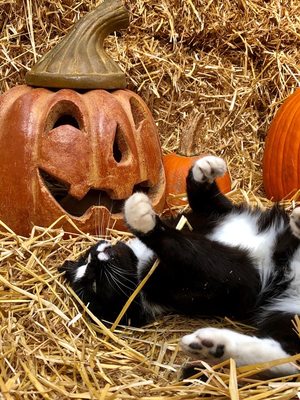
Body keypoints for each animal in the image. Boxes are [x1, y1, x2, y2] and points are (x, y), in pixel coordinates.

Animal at [60, 155, 300, 376]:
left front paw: (204, 168)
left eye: (86, 258)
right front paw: (141, 217)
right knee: (289, 359)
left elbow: (209, 202)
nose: (96, 256)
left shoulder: (217, 214)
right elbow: (189, 249)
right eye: (94, 285)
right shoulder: (233, 278)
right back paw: (213, 345)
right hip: (283, 314)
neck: (140, 258)